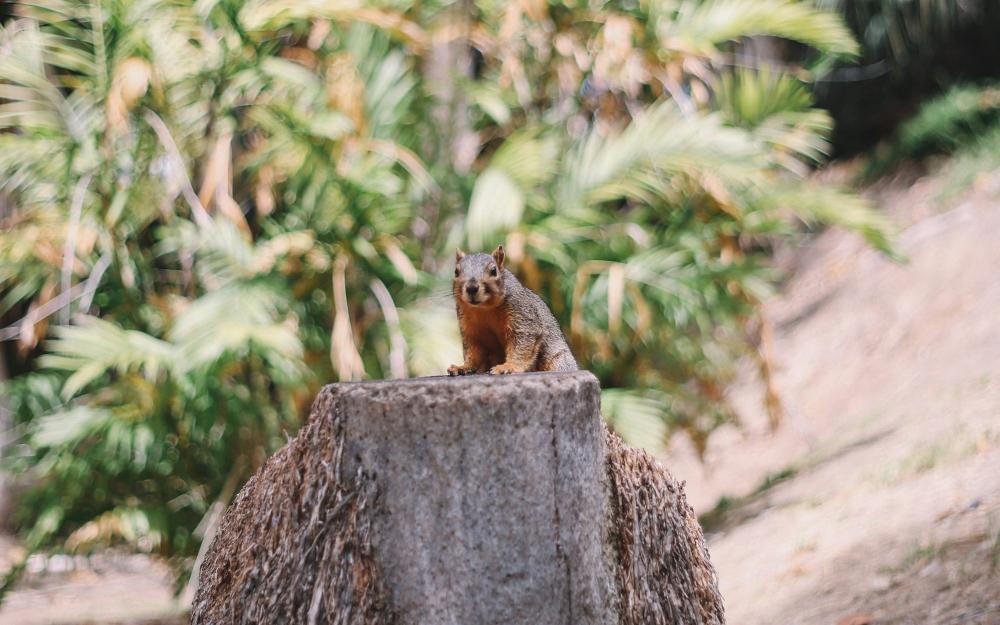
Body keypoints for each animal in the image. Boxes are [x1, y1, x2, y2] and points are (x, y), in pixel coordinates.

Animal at [448, 245, 580, 376]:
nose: (471, 288)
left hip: (559, 360)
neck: (483, 308)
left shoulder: (522, 315)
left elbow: (522, 345)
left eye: (494, 271)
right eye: (456, 271)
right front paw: (463, 367)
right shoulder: (470, 328)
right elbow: (473, 352)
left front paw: (509, 366)